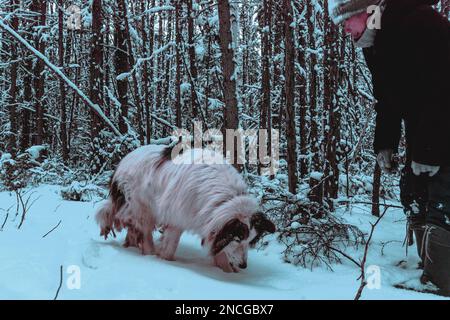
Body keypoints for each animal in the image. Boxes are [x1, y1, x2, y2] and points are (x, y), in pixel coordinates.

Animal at [95, 145, 274, 272]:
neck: (224, 199)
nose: (244, 265)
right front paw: (165, 260)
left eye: (250, 241)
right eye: (237, 239)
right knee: (145, 235)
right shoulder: (176, 219)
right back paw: (149, 254)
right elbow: (169, 248)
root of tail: (123, 162)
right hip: (142, 209)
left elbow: (221, 251)